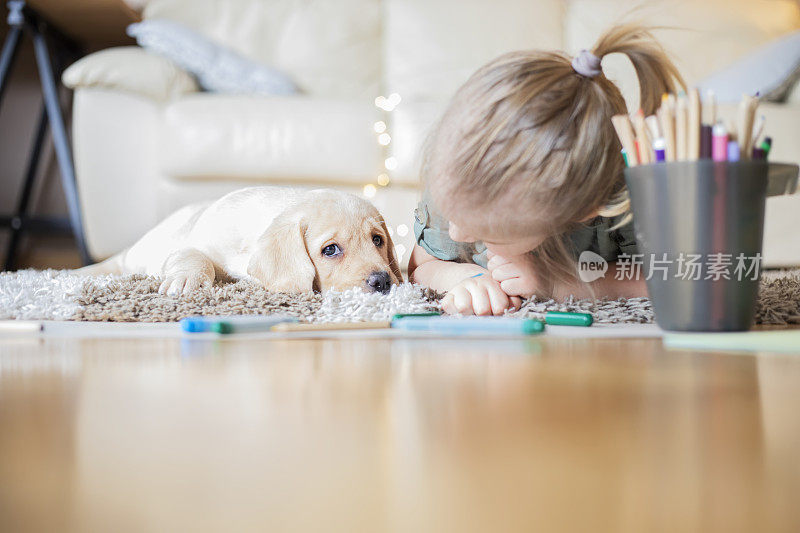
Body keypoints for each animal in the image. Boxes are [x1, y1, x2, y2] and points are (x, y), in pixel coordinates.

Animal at [78, 187, 404, 296]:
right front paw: (187, 280)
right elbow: (192, 256)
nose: (382, 281)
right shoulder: (195, 243)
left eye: (377, 240)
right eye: (331, 250)